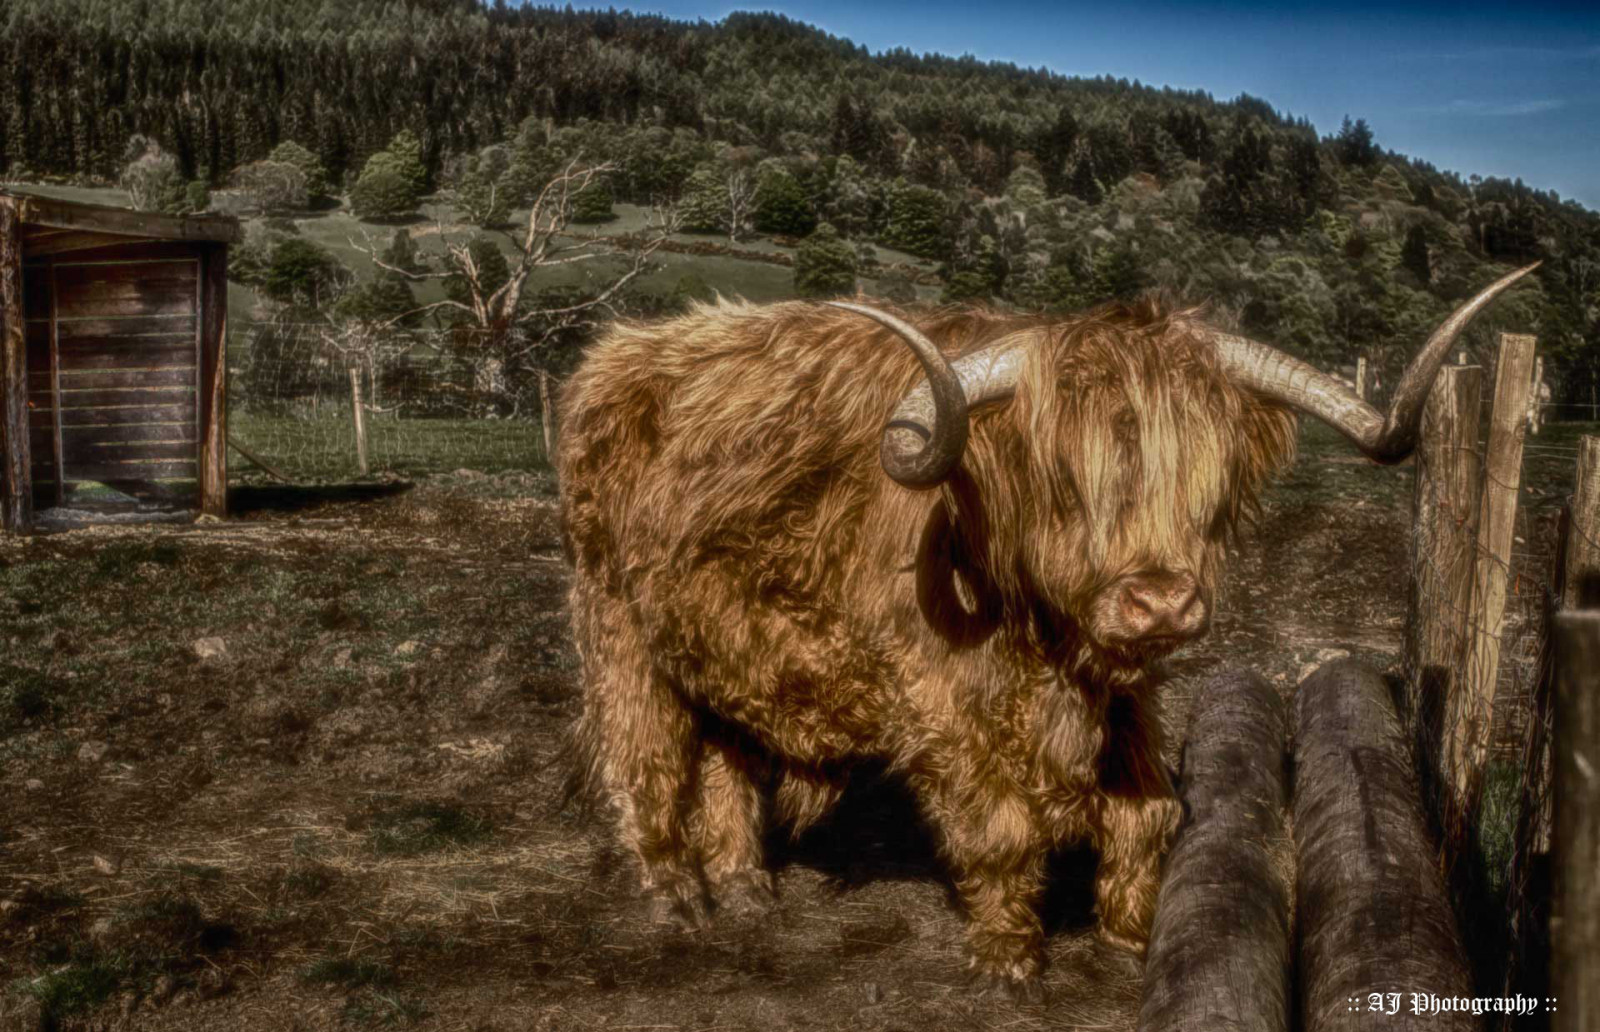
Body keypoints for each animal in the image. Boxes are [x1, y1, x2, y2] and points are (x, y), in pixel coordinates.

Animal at [555, 265, 1535, 994]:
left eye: (1209, 483)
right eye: (1069, 483)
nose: (1160, 603)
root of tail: (620, 353)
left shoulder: (1127, 698)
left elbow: (1151, 814)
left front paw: (1131, 933)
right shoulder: (940, 697)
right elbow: (1001, 829)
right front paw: (1007, 955)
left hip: (725, 645)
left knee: (730, 756)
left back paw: (748, 886)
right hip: (616, 621)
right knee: (643, 755)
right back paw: (679, 894)